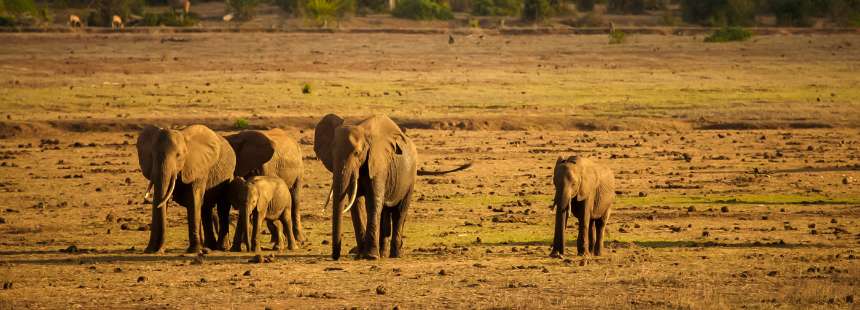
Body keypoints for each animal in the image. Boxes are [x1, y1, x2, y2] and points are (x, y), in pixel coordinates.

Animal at [135, 124, 235, 253]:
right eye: (152, 155)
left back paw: (221, 248)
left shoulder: (199, 167)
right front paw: (151, 250)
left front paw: (194, 251)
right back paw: (209, 247)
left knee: (222, 207)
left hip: (228, 176)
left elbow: (194, 199)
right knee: (206, 207)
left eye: (178, 155)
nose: (157, 250)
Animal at [314, 114, 474, 260]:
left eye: (357, 153)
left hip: (410, 178)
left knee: (399, 213)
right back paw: (383, 254)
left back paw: (395, 255)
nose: (335, 256)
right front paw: (361, 255)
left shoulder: (379, 164)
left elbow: (373, 202)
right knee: (385, 212)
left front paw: (370, 256)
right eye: (331, 153)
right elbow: (356, 204)